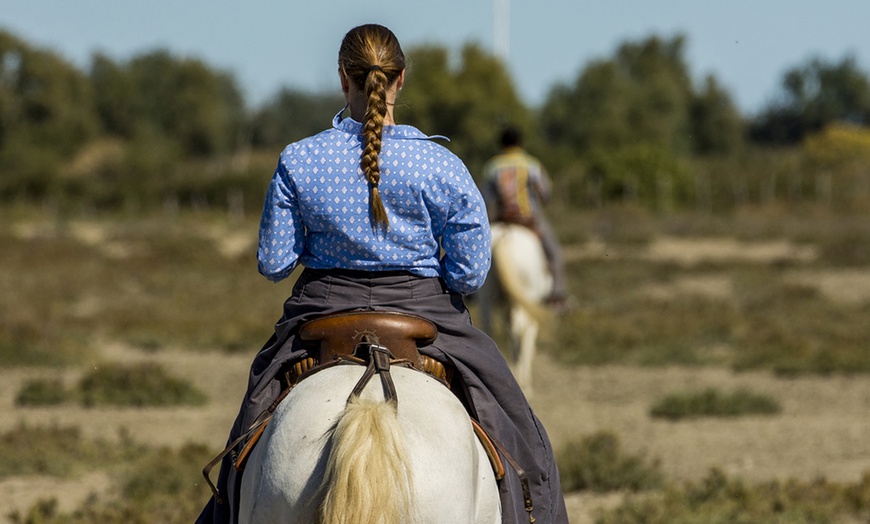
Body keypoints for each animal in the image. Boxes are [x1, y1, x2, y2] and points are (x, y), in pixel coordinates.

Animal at [476, 222, 552, 398]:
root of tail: (506, 236)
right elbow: (527, 337)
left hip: (486, 299)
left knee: (489, 330)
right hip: (522, 300)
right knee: (519, 332)